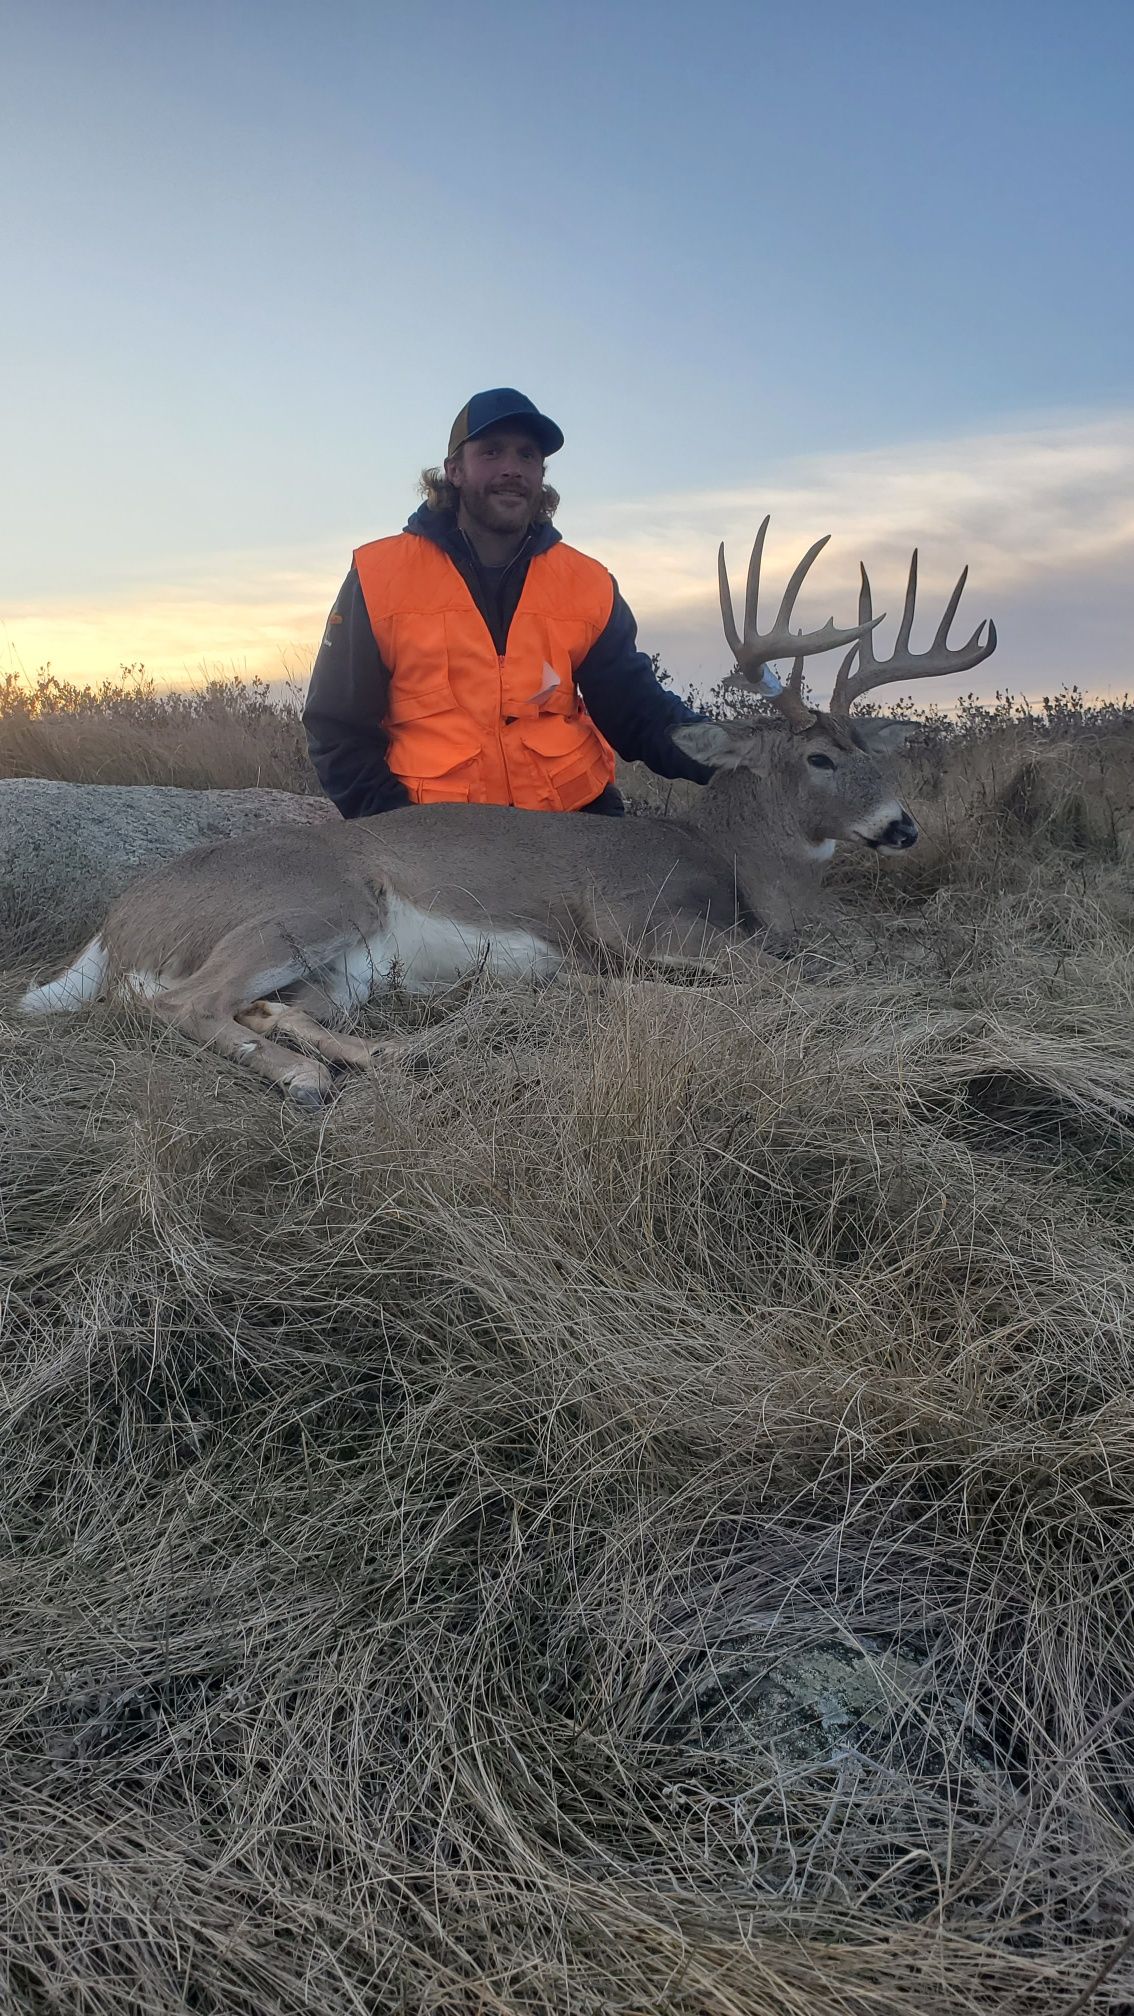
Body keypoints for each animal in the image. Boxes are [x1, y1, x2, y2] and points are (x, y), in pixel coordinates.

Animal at [18, 519, 996, 1105]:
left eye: (877, 752)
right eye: (820, 757)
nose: (904, 826)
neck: (737, 866)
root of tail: (116, 928)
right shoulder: (637, 916)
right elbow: (780, 980)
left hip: (338, 970)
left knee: (270, 1009)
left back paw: (398, 1052)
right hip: (314, 900)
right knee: (185, 1002)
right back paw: (305, 1078)